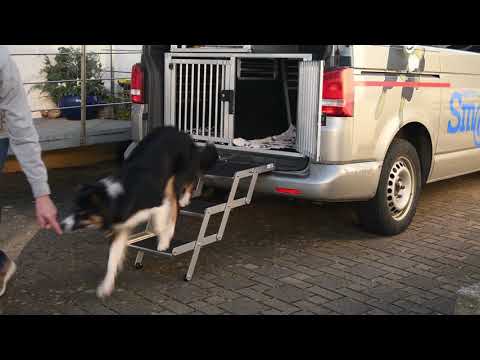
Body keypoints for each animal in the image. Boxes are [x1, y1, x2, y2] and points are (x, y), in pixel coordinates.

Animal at [61, 126, 218, 298]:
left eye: (81, 212)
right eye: (73, 208)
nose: (61, 225)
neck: (114, 199)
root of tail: (181, 132)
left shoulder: (158, 204)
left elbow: (160, 224)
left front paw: (164, 241)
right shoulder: (121, 227)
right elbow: (112, 259)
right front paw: (106, 286)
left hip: (175, 178)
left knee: (181, 196)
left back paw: (183, 201)